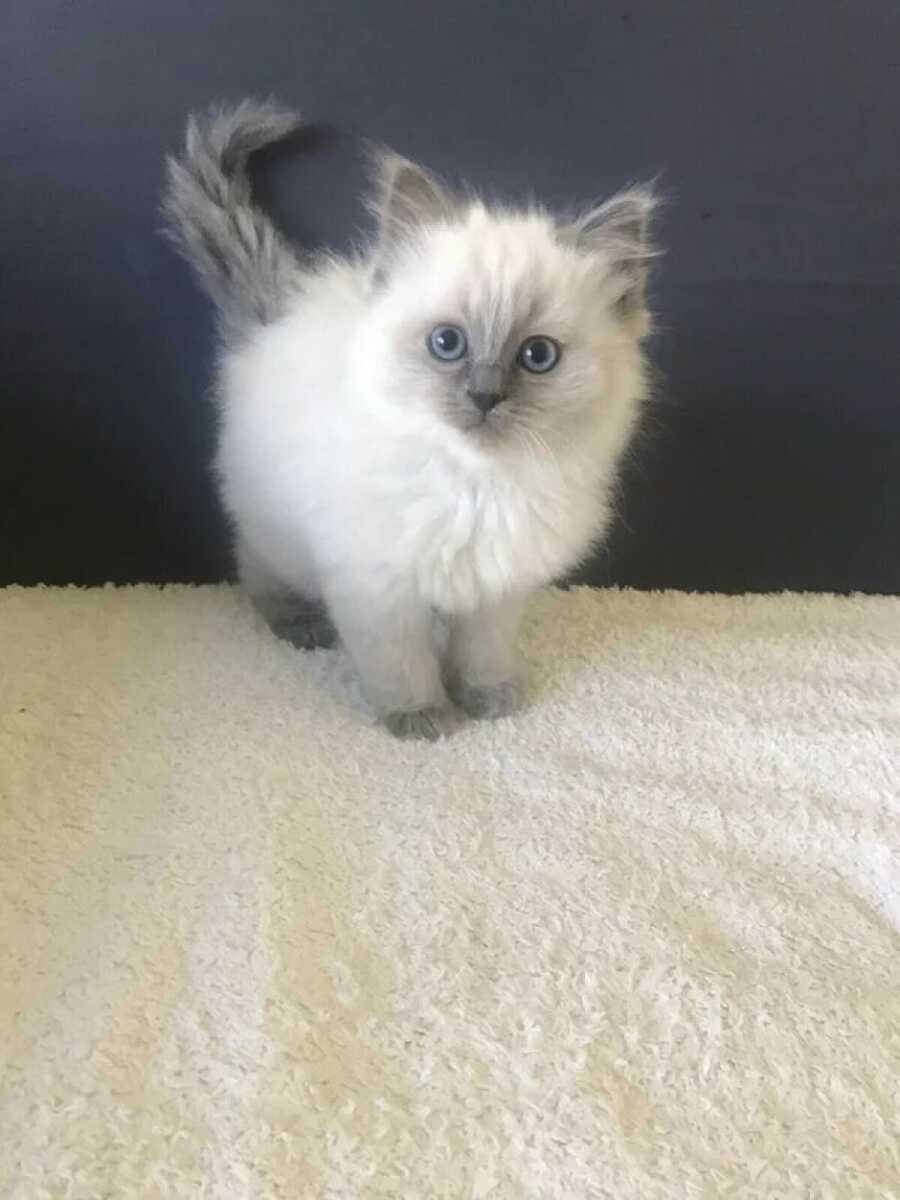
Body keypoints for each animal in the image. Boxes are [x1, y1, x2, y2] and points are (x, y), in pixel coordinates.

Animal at [162, 100, 657, 739]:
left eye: (538, 356)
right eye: (447, 343)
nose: (484, 396)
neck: (475, 486)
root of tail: (282, 311)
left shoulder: (498, 587)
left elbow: (481, 651)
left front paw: (487, 698)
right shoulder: (378, 587)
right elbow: (402, 663)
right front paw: (421, 719)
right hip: (280, 533)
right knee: (256, 564)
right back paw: (297, 623)